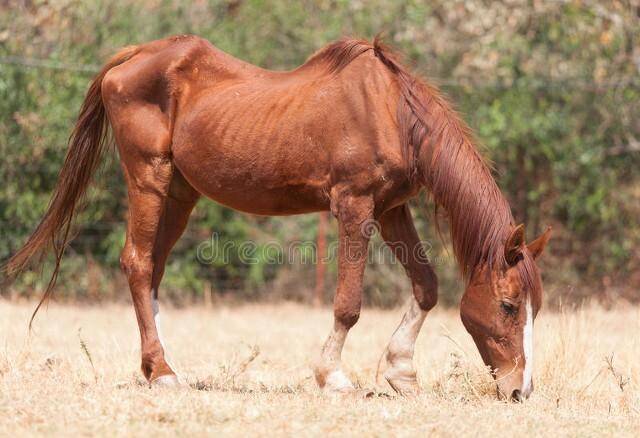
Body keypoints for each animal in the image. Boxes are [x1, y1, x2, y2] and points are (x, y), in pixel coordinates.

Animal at [5, 36, 552, 402]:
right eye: (508, 306)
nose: (520, 391)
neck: (392, 112)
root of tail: (134, 56)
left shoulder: (392, 207)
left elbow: (427, 285)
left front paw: (401, 372)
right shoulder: (353, 205)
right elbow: (348, 304)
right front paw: (332, 376)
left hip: (180, 193)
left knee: (154, 269)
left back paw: (158, 366)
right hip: (148, 178)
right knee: (137, 263)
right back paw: (161, 371)